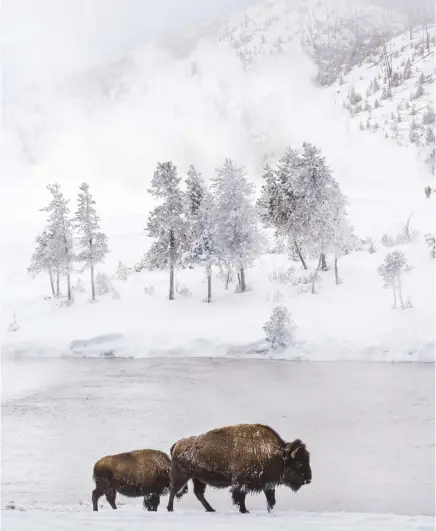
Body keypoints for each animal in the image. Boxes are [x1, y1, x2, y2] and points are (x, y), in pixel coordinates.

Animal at [165, 422, 312, 512]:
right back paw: (170, 508)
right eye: (299, 463)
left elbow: (270, 497)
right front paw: (244, 510)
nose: (308, 479)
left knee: (198, 493)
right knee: (173, 490)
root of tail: (177, 444)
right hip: (182, 476)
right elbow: (240, 496)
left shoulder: (267, 482)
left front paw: (269, 509)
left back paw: (211, 509)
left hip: (198, 479)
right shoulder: (241, 482)